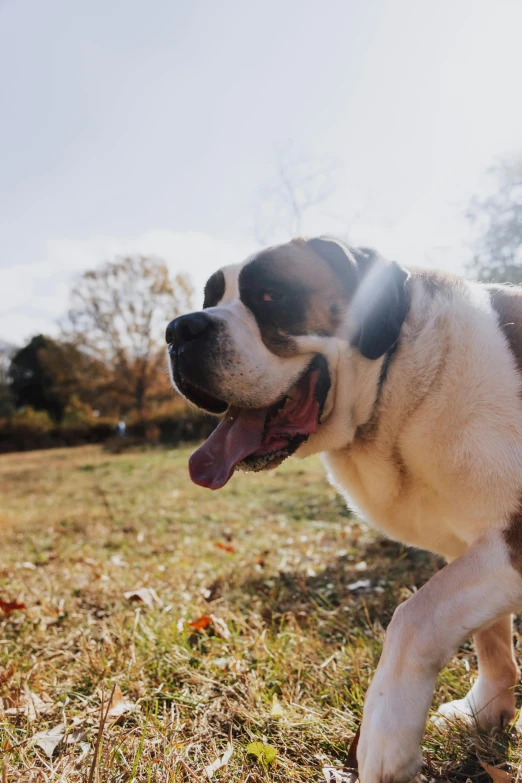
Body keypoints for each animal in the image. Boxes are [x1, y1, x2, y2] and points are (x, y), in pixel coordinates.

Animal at [166, 237, 520, 783]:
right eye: (210, 297)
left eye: (269, 296)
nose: (179, 330)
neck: (398, 380)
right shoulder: (472, 545)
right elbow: (491, 639)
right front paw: (487, 711)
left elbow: (416, 617)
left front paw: (384, 740)